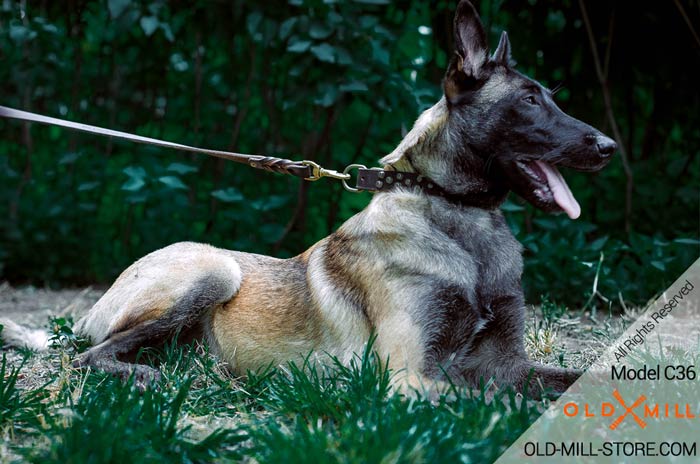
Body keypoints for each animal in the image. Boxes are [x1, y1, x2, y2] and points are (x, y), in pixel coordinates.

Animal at [1, 0, 612, 398]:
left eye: (548, 96)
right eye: (529, 101)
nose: (608, 147)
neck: (455, 216)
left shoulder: (508, 363)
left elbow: (580, 381)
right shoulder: (407, 375)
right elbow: (487, 405)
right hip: (214, 270)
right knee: (88, 355)